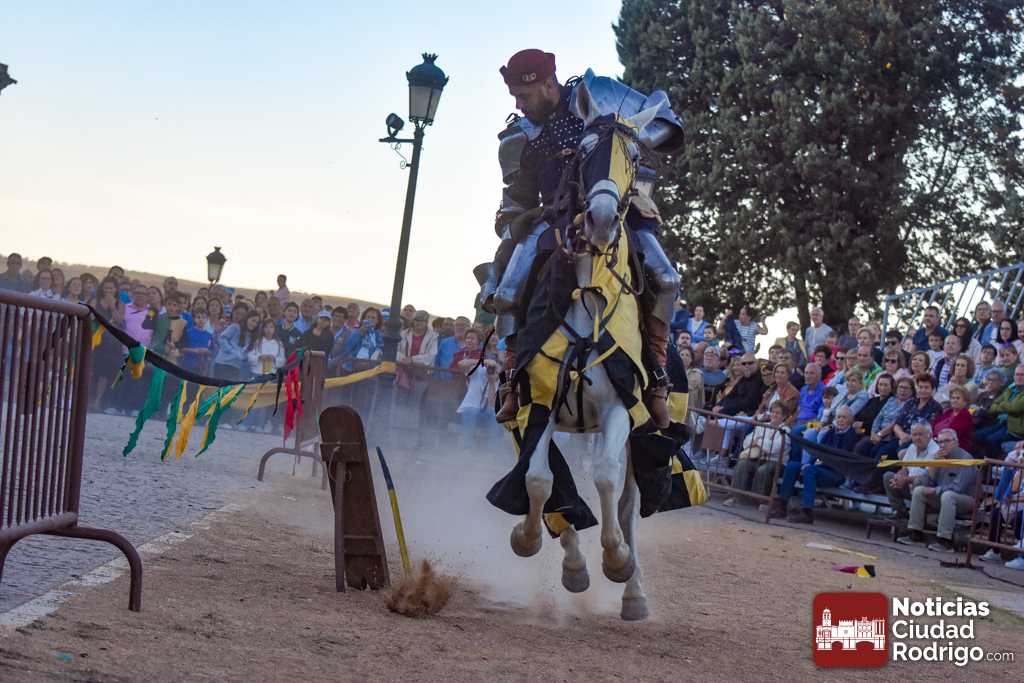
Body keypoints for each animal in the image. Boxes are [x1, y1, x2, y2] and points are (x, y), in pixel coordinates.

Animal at [506, 80, 663, 621]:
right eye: (585, 150)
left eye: (634, 157)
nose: (600, 219)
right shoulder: (536, 406)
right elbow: (540, 480)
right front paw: (545, 549)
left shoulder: (620, 410)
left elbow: (607, 479)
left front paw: (616, 562)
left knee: (629, 505)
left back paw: (634, 590)